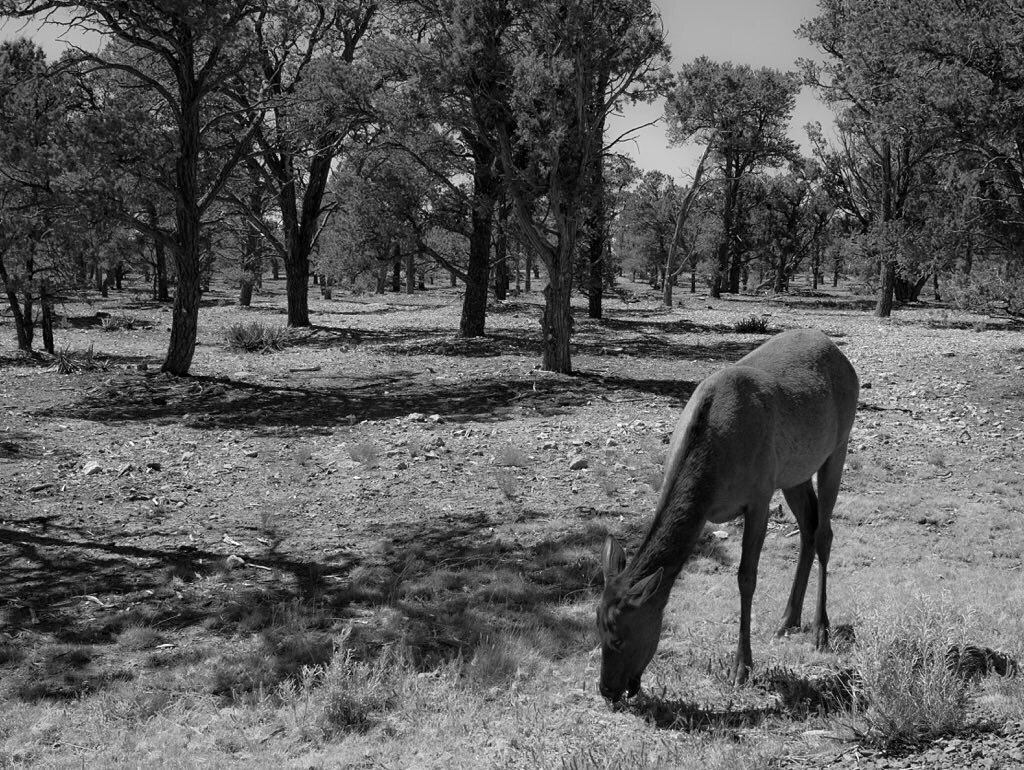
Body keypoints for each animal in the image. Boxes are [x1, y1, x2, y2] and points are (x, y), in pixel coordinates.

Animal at [598, 327, 860, 700]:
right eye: (596, 626)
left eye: (619, 637)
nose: (606, 690)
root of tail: (841, 355)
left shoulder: (759, 495)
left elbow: (746, 578)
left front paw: (742, 667)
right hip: (793, 472)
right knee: (808, 528)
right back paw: (787, 619)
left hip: (837, 447)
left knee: (824, 533)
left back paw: (819, 629)